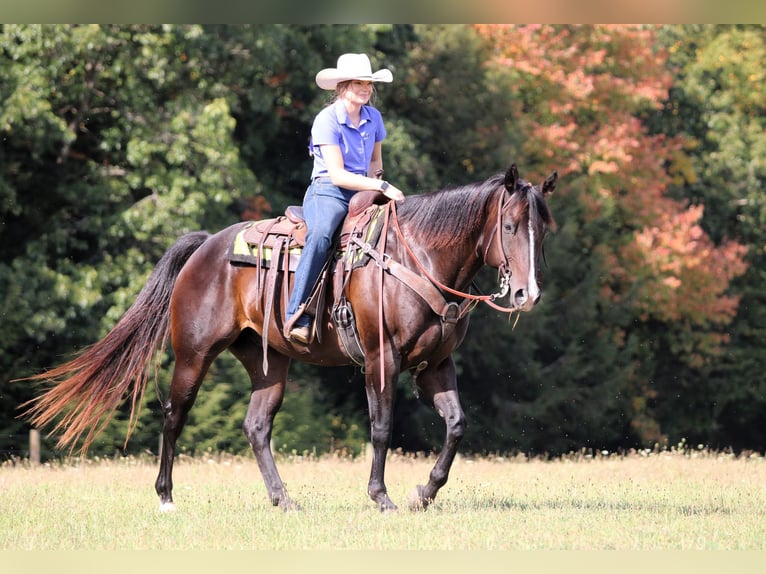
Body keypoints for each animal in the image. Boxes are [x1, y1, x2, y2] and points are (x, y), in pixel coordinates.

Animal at [22, 163, 557, 512]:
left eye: (543, 230)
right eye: (511, 226)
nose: (527, 294)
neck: (416, 257)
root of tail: (206, 246)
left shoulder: (434, 365)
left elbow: (456, 424)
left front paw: (424, 493)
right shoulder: (381, 358)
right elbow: (381, 427)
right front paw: (381, 497)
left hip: (268, 363)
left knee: (257, 426)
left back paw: (284, 499)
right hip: (194, 354)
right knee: (175, 414)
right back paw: (167, 497)